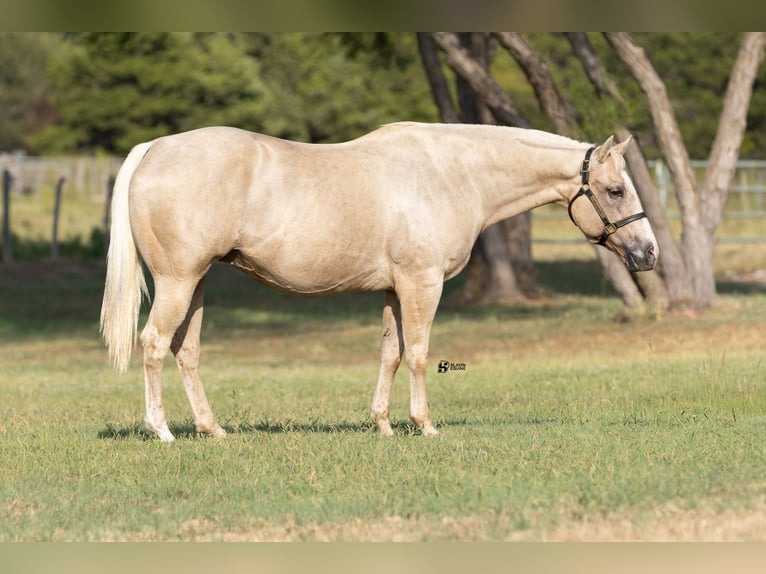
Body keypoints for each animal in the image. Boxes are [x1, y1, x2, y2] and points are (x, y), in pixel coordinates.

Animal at [100, 122, 658, 442]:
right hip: (177, 281)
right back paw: (162, 430)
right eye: (615, 189)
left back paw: (211, 429)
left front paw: (384, 425)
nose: (648, 253)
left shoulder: (394, 289)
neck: (452, 172)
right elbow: (418, 354)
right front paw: (424, 425)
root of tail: (154, 149)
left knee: (186, 351)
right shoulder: (422, 284)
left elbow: (390, 353)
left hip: (196, 284)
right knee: (154, 344)